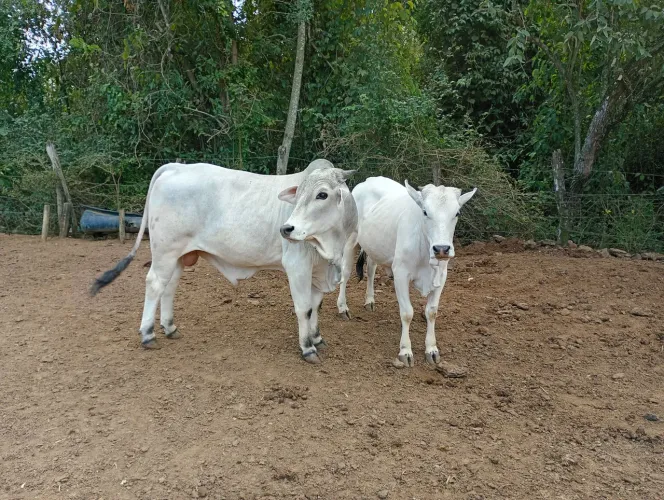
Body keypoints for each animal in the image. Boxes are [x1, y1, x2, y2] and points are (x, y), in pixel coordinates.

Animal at [90, 159, 357, 364]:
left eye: (322, 194)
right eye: (298, 195)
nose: (286, 229)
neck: (330, 246)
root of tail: (175, 166)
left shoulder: (319, 271)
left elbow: (316, 307)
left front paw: (317, 338)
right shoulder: (297, 266)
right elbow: (304, 308)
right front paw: (307, 347)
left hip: (178, 256)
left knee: (169, 287)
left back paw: (169, 327)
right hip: (165, 251)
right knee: (155, 284)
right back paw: (148, 334)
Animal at [336, 176, 476, 367]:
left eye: (457, 213)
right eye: (425, 212)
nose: (441, 248)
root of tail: (367, 181)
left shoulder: (441, 275)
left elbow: (432, 312)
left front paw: (432, 349)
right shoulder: (400, 273)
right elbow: (407, 313)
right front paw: (405, 351)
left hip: (375, 246)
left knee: (371, 269)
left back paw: (370, 300)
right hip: (350, 238)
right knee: (345, 272)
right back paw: (343, 307)